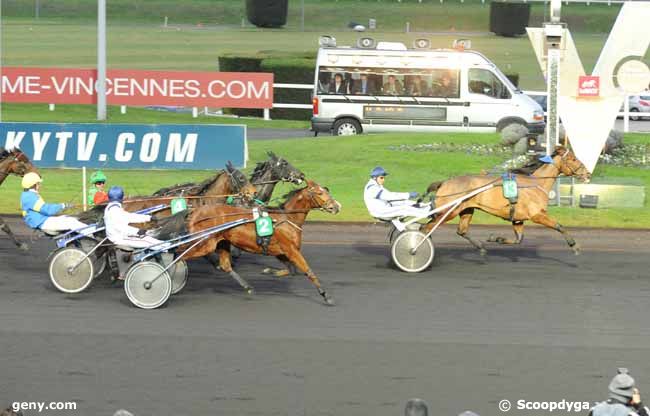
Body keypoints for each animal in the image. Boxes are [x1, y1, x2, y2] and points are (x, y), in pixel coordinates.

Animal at [177, 180, 340, 304]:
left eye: (326, 190)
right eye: (319, 193)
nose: (337, 206)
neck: (287, 219)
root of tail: (195, 211)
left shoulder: (279, 252)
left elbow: (291, 270)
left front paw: (269, 271)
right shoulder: (291, 250)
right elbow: (308, 271)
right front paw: (326, 295)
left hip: (221, 242)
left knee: (225, 266)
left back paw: (248, 287)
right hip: (204, 243)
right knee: (180, 255)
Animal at [422, 146, 588, 256]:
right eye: (573, 159)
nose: (587, 173)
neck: (536, 184)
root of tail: (444, 183)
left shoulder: (518, 219)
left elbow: (519, 239)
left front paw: (497, 238)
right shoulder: (537, 215)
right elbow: (559, 226)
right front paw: (574, 246)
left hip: (466, 209)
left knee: (460, 230)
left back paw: (481, 247)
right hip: (448, 211)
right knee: (426, 228)